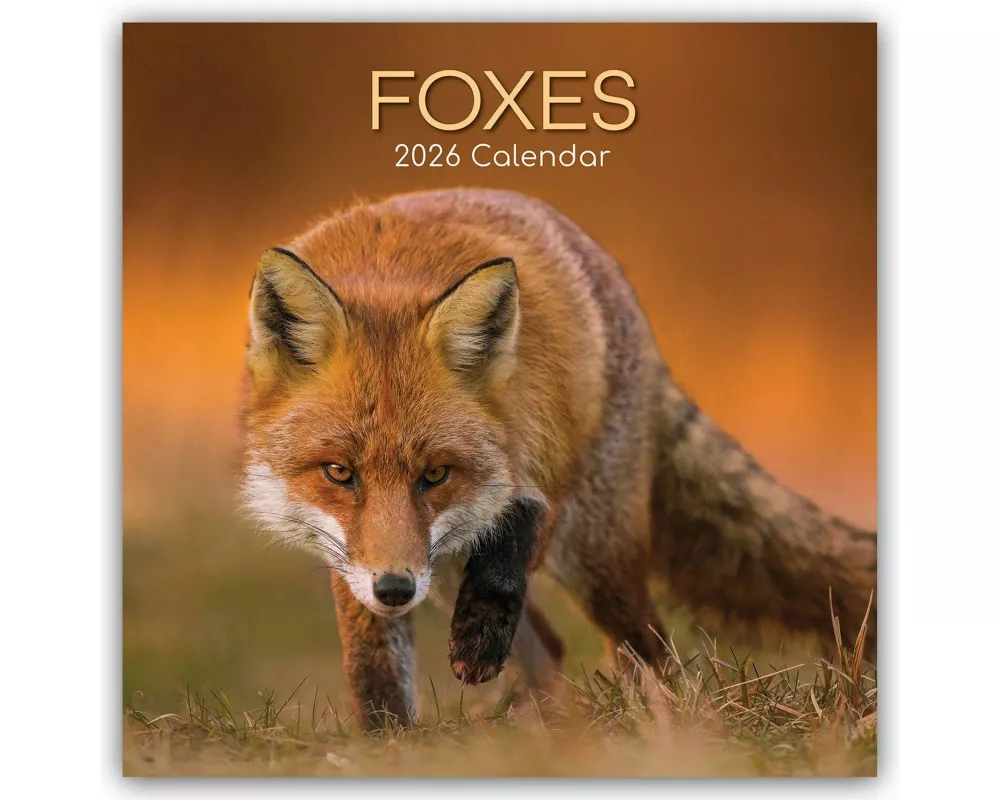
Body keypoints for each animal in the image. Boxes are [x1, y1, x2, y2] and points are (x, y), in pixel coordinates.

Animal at [240, 187, 877, 729]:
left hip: (599, 559)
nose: (395, 588)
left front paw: (479, 637)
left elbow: (513, 540)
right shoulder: (353, 560)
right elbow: (374, 673)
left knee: (648, 646)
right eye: (339, 473)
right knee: (551, 646)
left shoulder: (539, 462)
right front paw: (388, 745)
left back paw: (660, 722)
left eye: (436, 474)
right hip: (451, 568)